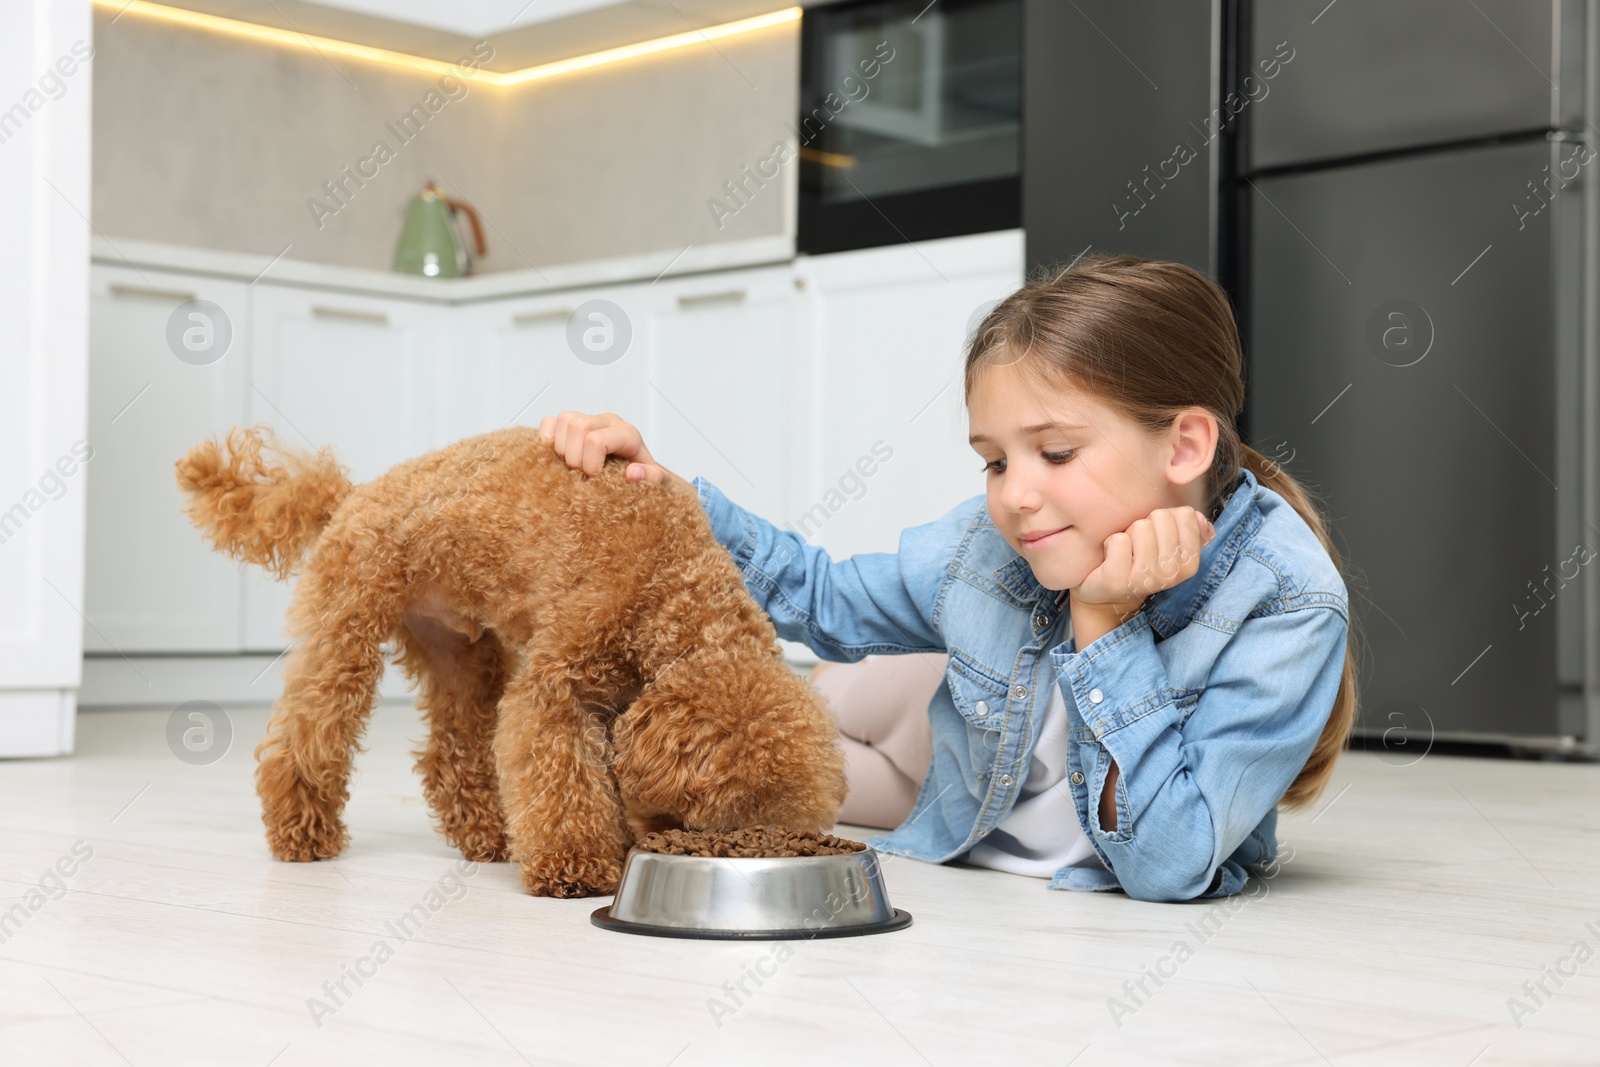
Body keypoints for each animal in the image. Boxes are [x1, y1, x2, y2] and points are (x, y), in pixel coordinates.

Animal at [175, 422, 851, 895]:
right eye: (696, 821)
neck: (671, 590)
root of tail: (352, 495)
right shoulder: (557, 684)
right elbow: (560, 775)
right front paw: (575, 866)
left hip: (462, 657)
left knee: (451, 755)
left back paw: (490, 835)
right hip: (347, 632)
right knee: (307, 734)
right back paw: (303, 834)